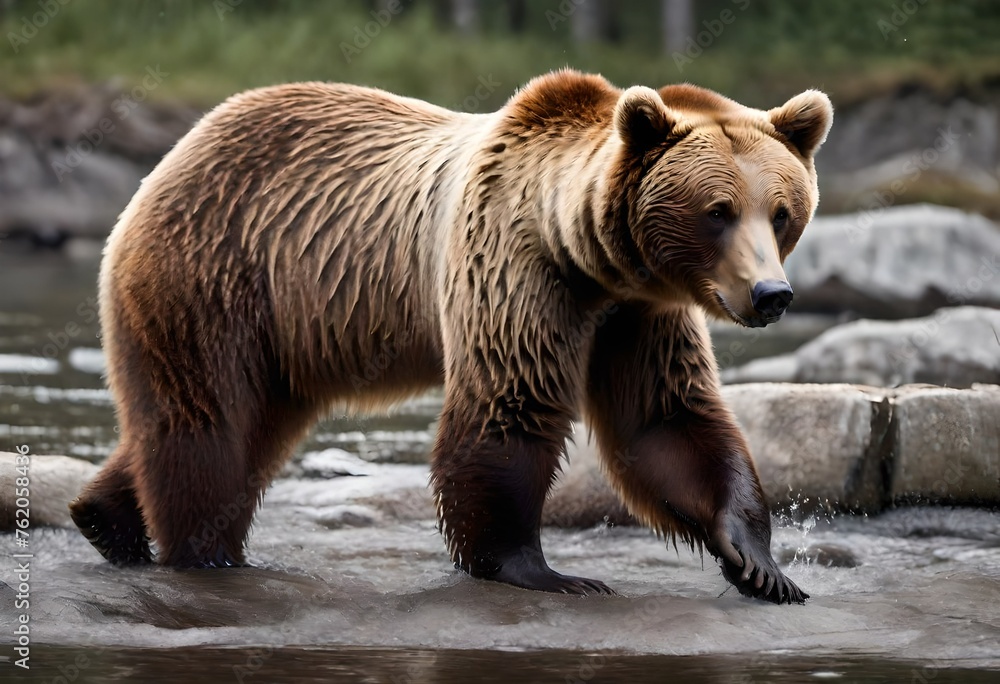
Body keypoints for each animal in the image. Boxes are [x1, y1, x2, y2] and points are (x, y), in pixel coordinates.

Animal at [70, 69, 832, 604]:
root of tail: (174, 154)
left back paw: (104, 517)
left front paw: (759, 562)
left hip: (289, 332)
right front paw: (544, 569)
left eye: (782, 211)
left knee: (245, 427)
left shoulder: (637, 313)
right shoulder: (513, 268)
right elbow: (510, 408)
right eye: (718, 210)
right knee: (208, 421)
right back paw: (205, 553)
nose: (771, 295)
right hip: (215, 274)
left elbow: (665, 419)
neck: (586, 256)